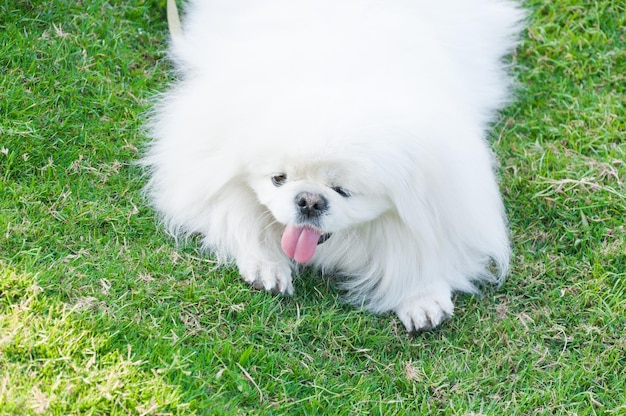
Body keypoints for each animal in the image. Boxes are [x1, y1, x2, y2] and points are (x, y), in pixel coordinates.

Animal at [141, 0, 520, 332]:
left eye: (343, 191)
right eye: (279, 179)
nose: (309, 200)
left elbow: (425, 250)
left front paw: (421, 296)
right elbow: (239, 220)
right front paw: (266, 265)